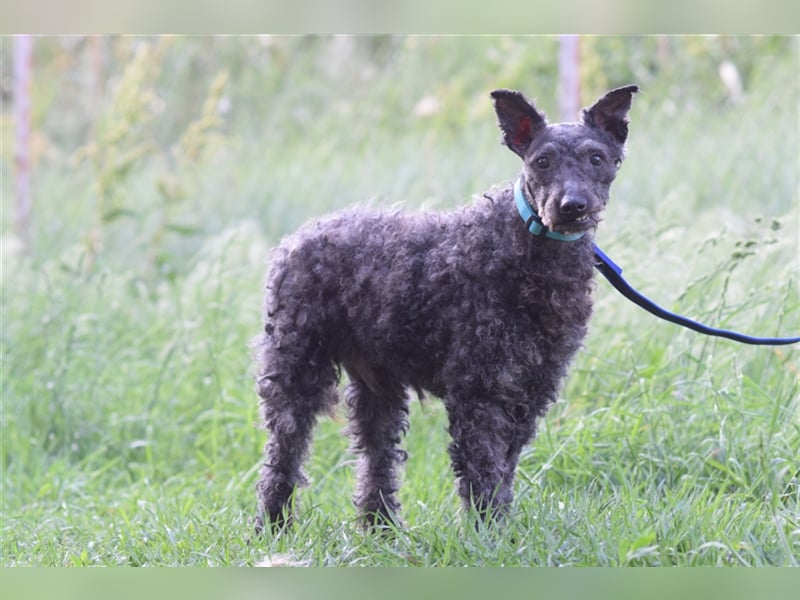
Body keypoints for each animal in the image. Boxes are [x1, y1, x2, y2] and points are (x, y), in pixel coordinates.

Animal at [253, 83, 640, 528]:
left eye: (597, 158)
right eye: (542, 162)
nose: (572, 205)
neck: (526, 247)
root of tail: (297, 238)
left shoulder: (531, 389)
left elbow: (503, 468)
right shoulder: (479, 389)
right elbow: (482, 468)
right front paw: (488, 533)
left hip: (378, 385)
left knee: (377, 457)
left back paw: (381, 529)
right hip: (295, 371)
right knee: (283, 455)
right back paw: (273, 527)